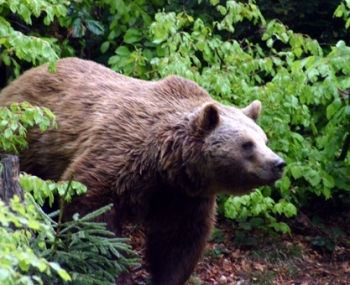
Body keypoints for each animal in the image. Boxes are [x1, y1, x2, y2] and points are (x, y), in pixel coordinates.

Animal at [0, 57, 284, 284]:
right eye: (247, 144)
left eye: (264, 140)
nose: (278, 164)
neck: (165, 163)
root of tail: (19, 79)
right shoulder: (118, 157)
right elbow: (93, 214)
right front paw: (119, 271)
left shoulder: (183, 197)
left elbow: (179, 241)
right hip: (27, 143)